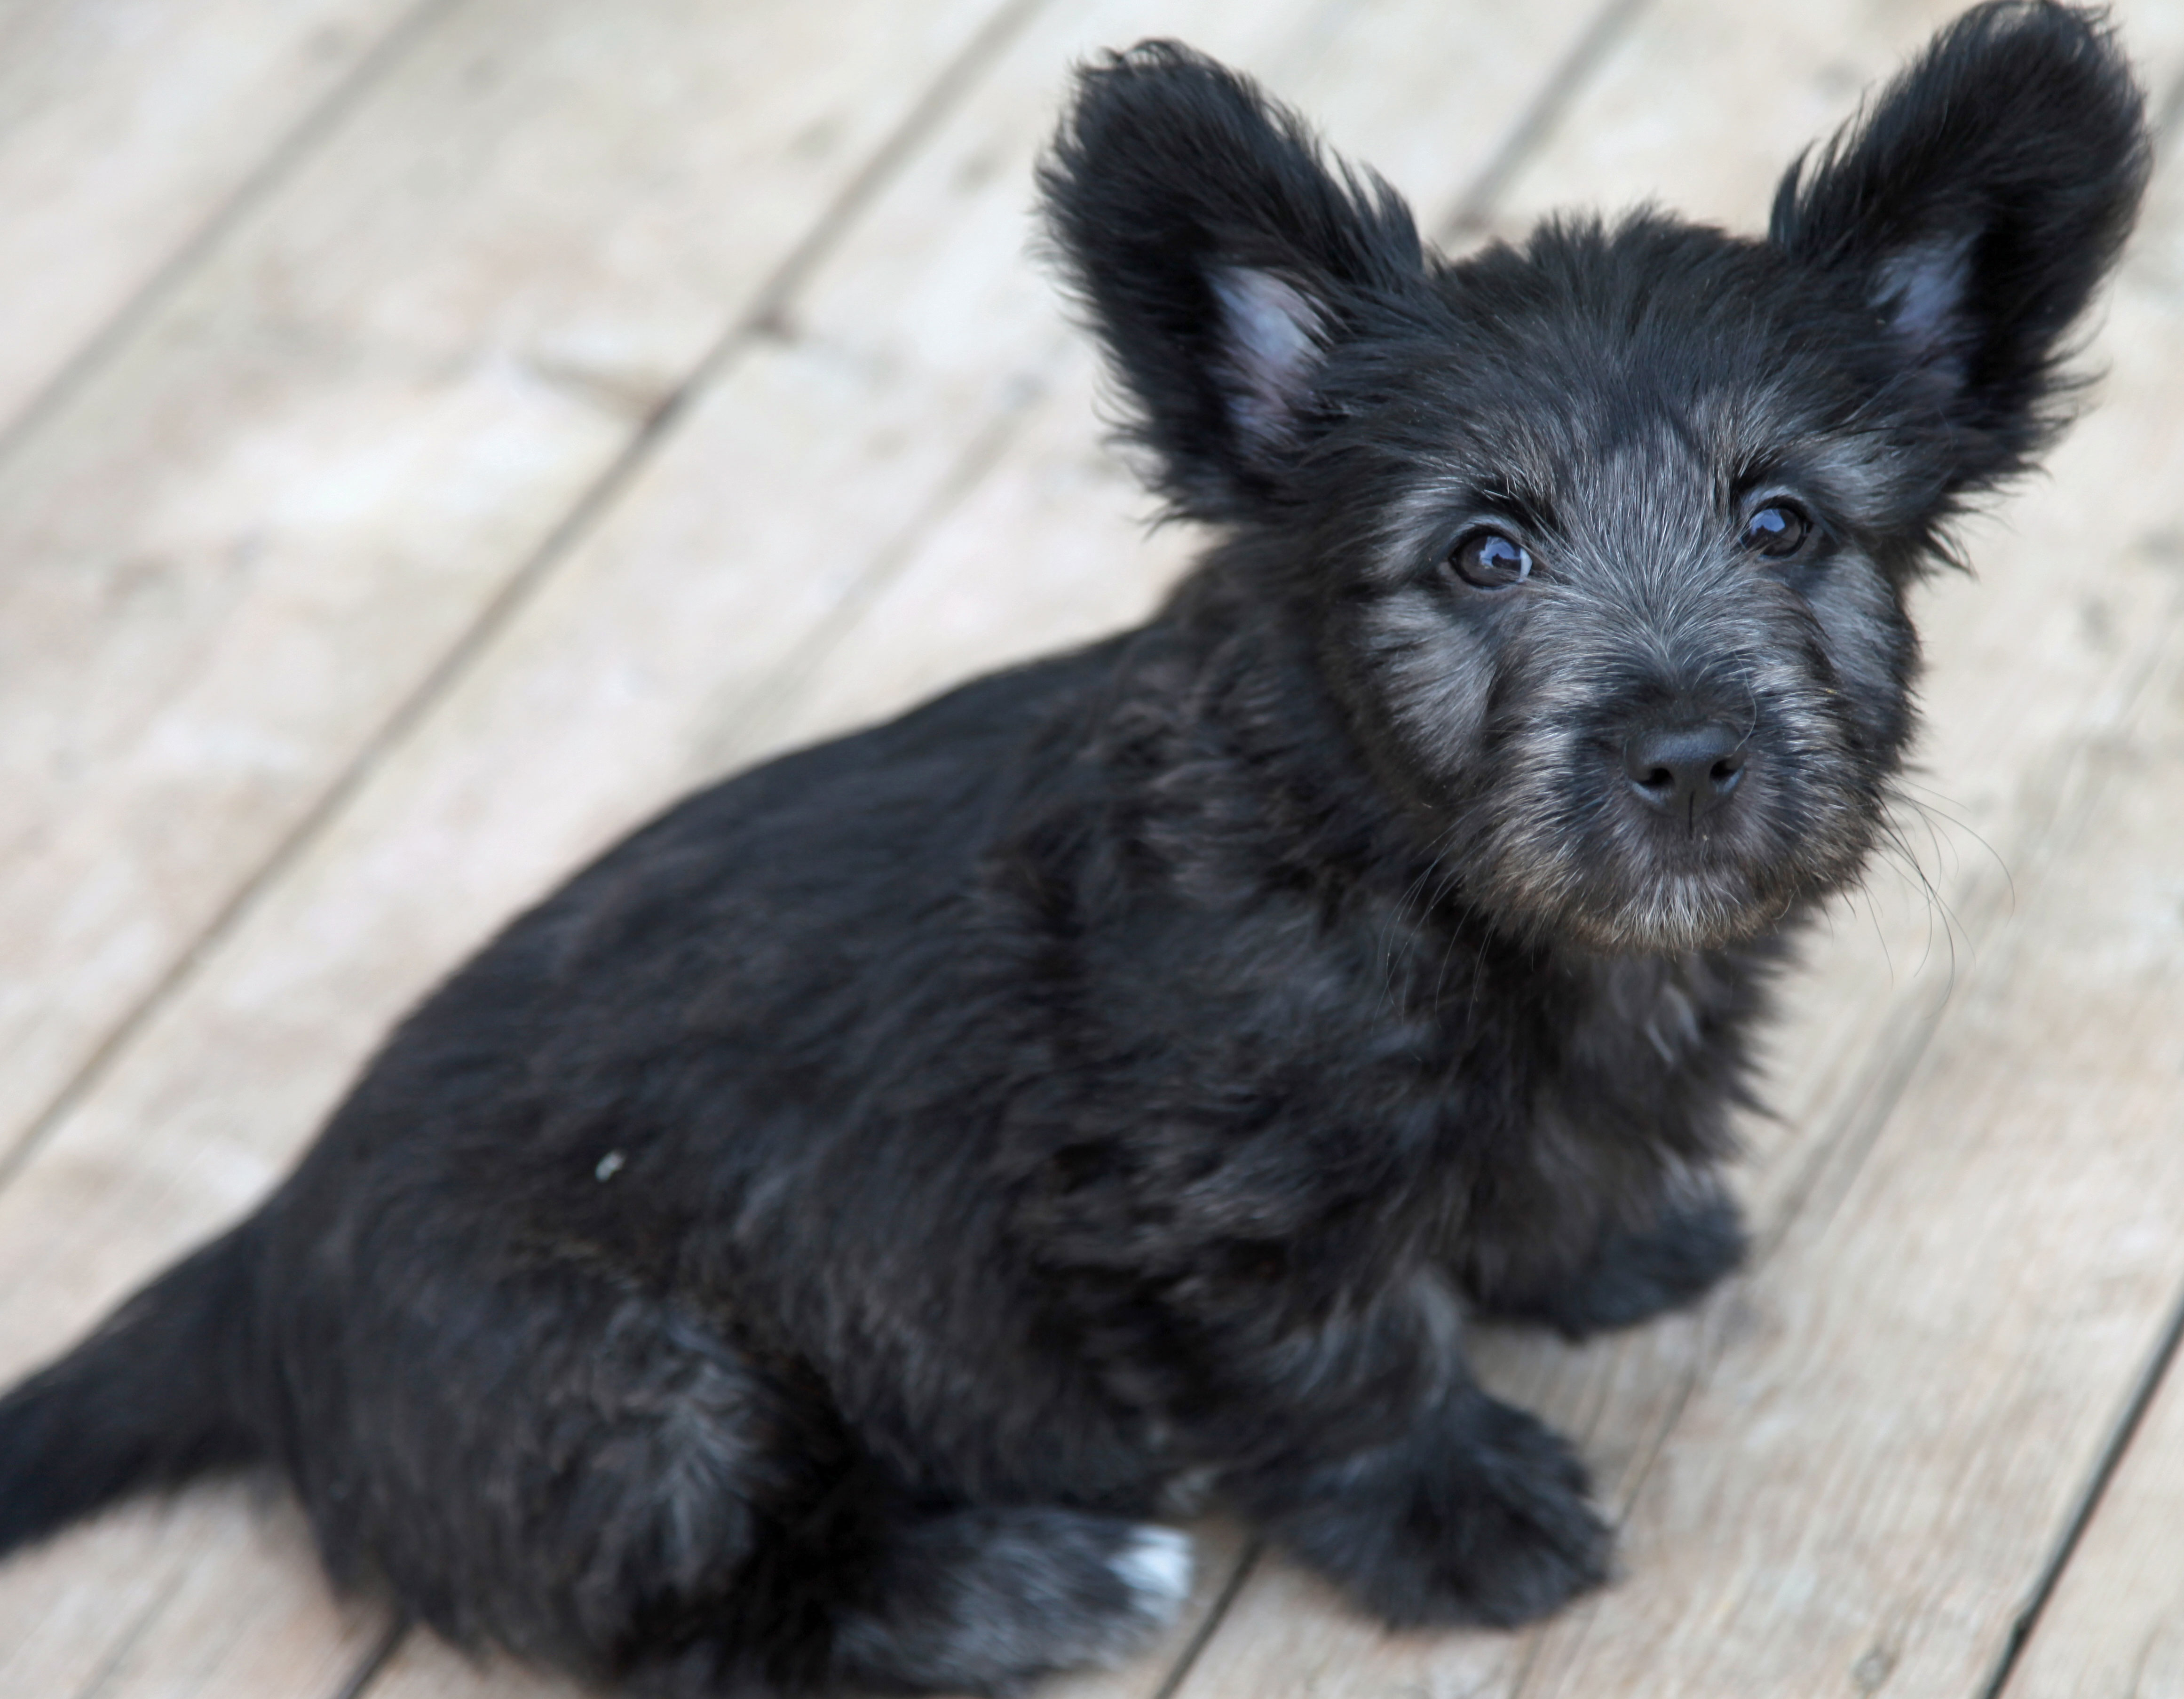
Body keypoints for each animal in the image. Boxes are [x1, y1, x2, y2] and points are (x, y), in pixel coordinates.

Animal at [0, 3, 2149, 1694]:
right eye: (1482, 552)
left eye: (1787, 524)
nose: (1684, 758)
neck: (1408, 871)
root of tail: (258, 1268)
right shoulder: (1209, 1203)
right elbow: (1344, 1360)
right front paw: (1456, 1511)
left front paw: (1605, 1243)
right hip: (631, 1394)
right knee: (707, 1629)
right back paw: (1028, 1578)